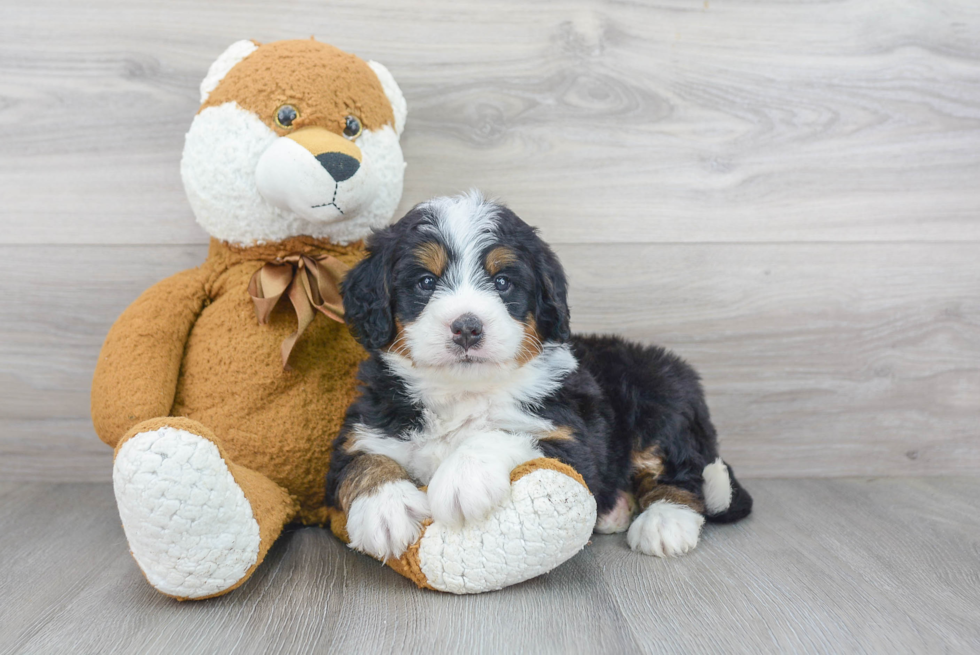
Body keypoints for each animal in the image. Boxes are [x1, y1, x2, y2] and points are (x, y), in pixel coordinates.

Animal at [326, 192, 756, 560]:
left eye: (502, 282)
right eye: (426, 282)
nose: (467, 327)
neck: (463, 393)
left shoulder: (574, 439)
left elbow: (504, 433)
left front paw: (463, 477)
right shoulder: (364, 428)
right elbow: (363, 460)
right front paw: (385, 508)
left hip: (660, 394)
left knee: (683, 474)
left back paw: (664, 522)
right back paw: (617, 511)